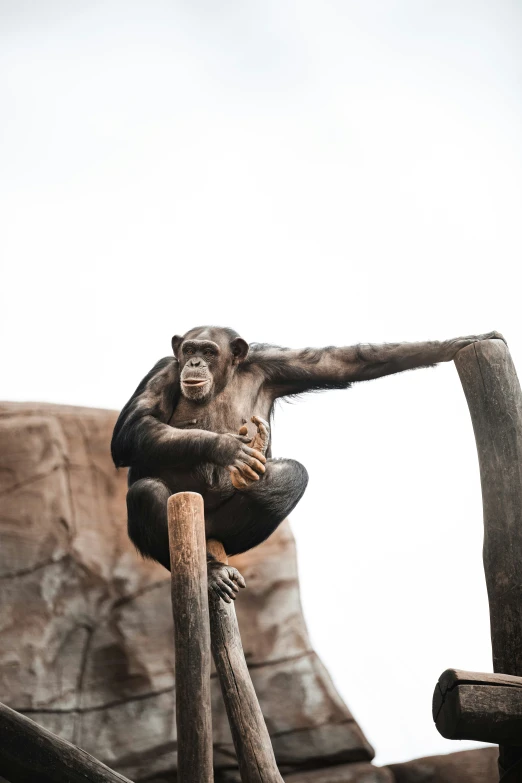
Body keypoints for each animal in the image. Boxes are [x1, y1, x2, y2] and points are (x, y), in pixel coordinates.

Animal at [109, 328, 500, 604]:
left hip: (226, 531)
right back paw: (212, 572)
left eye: (209, 351)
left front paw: (458, 342)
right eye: (189, 350)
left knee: (294, 473)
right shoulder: (163, 370)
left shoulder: (276, 364)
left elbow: (341, 362)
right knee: (147, 492)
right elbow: (132, 428)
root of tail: (211, 538)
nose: (193, 363)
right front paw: (227, 448)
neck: (223, 379)